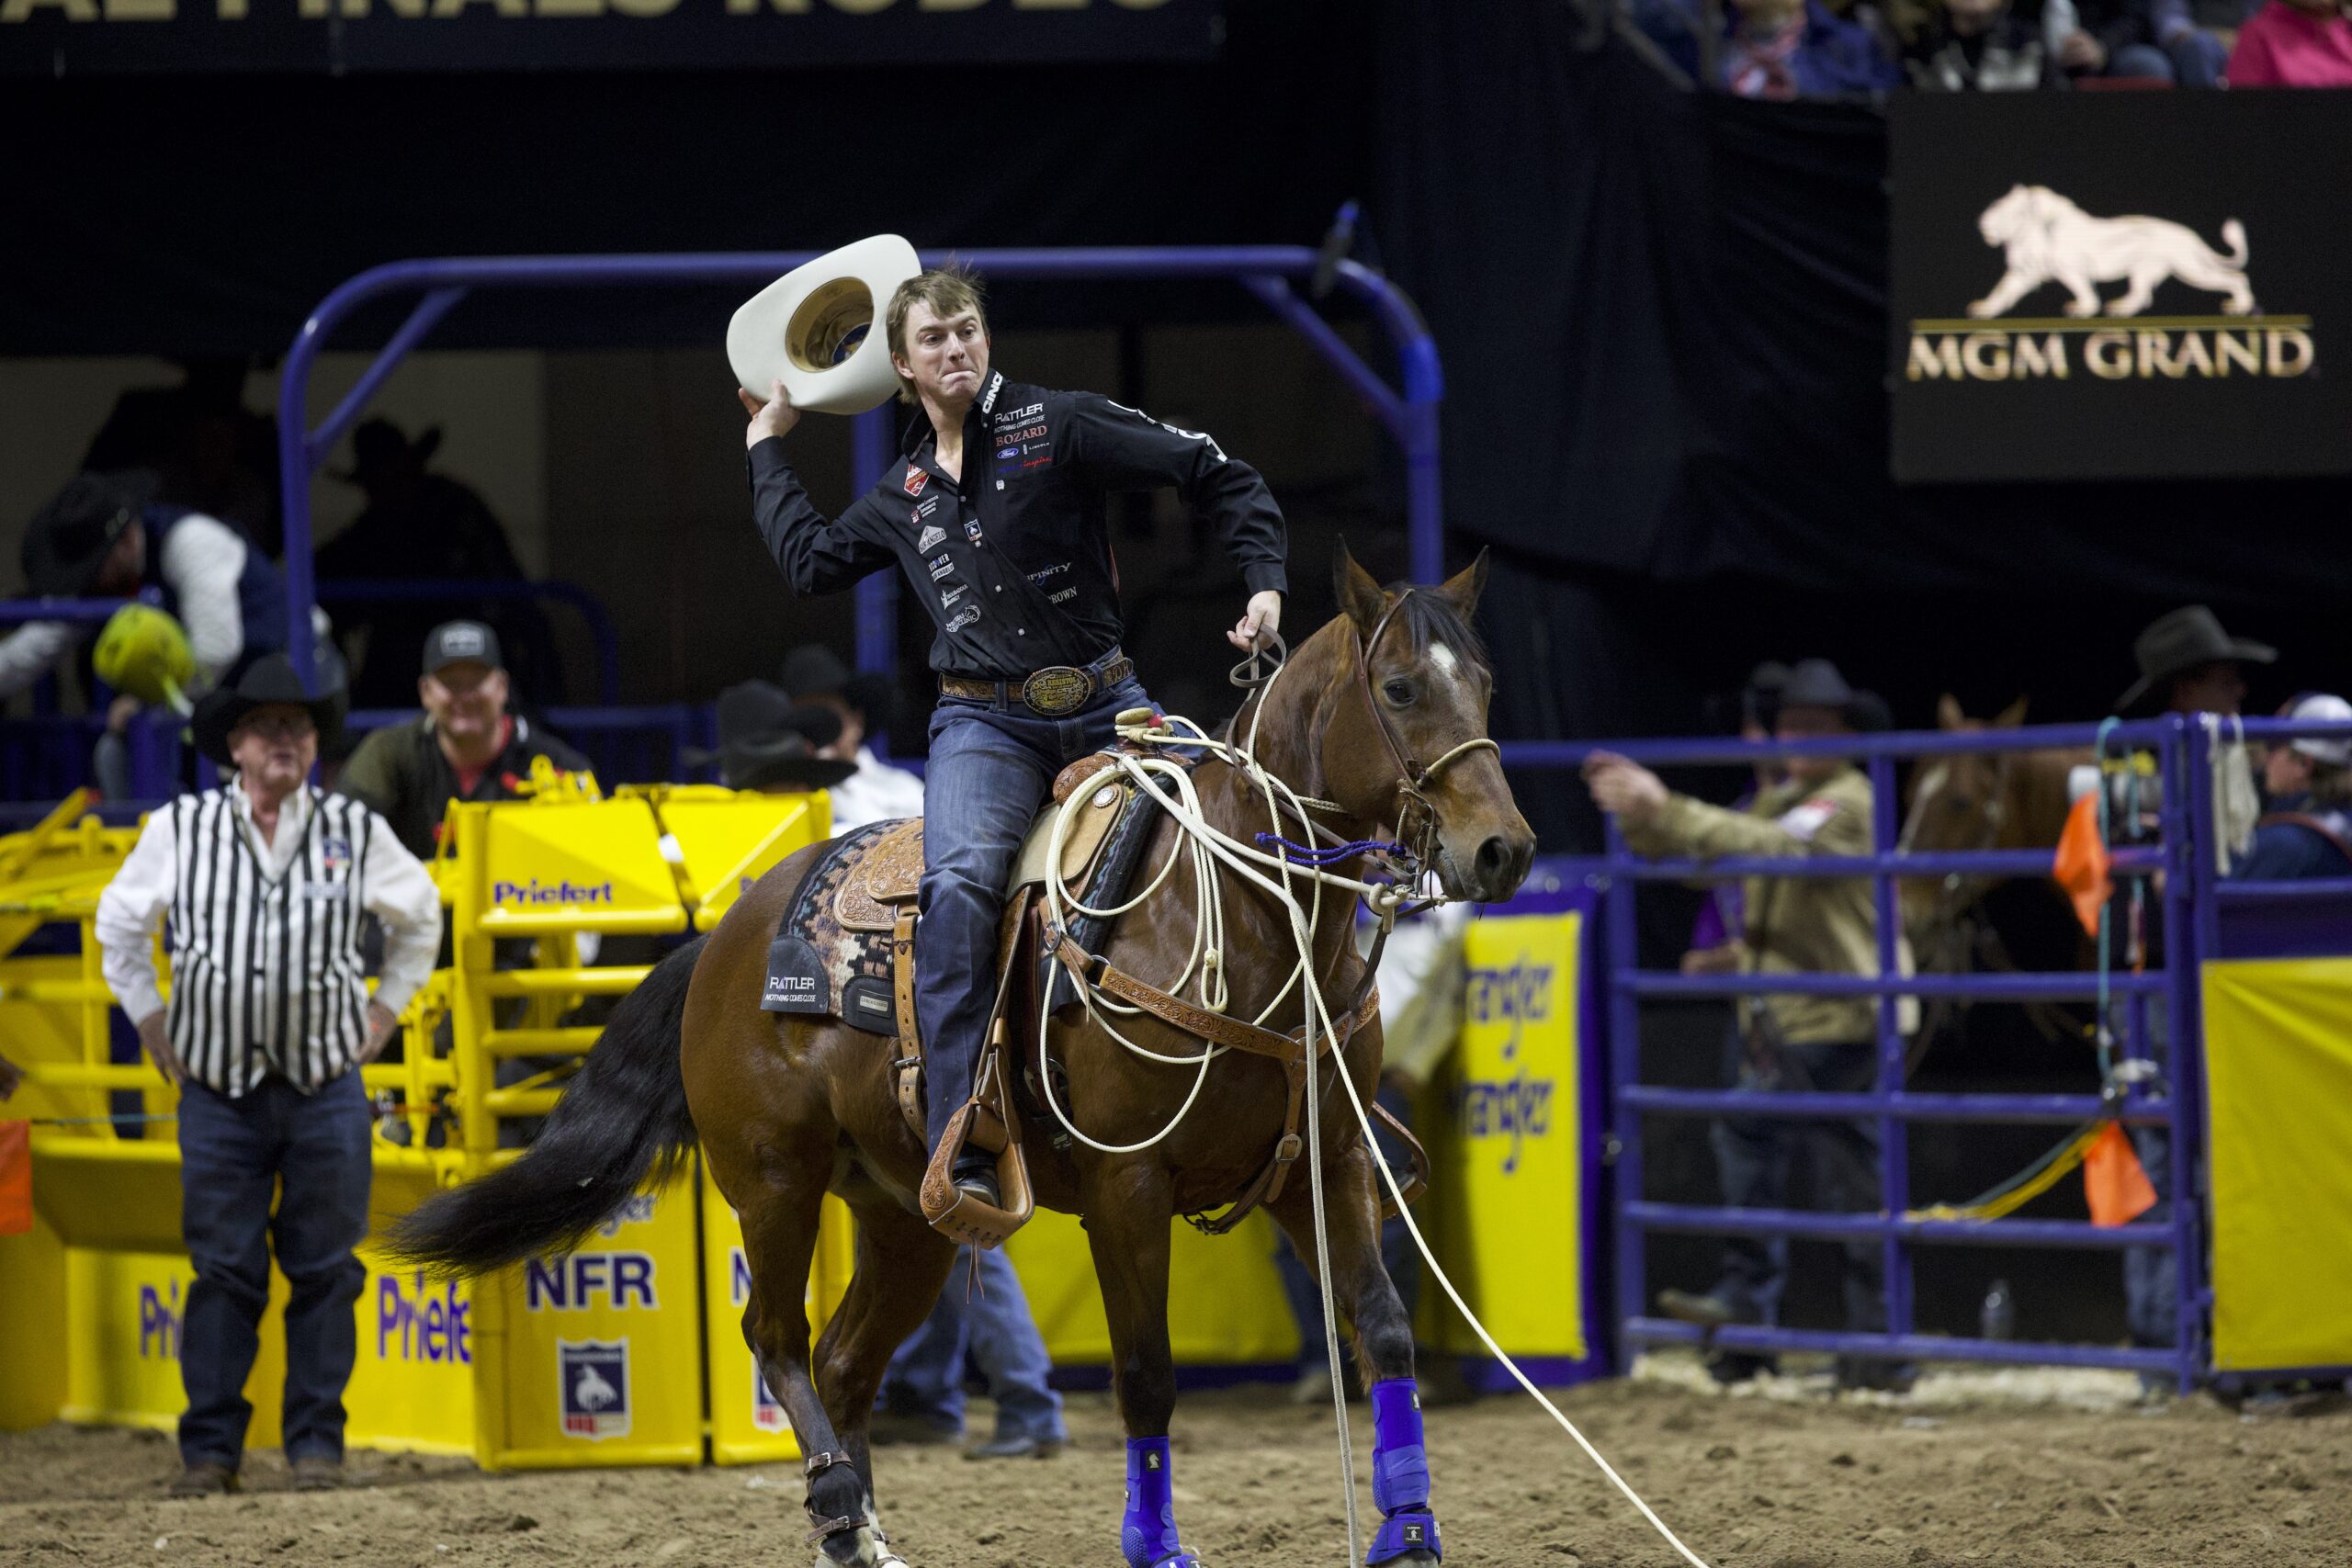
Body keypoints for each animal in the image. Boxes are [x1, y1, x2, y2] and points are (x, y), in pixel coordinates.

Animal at [395, 545, 1533, 1561]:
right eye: (1398, 687)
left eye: (1483, 684)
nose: (1504, 849)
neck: (1245, 922)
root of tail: (721, 937)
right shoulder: (1127, 1190)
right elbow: (1145, 1374)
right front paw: (1155, 1546)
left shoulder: (1324, 1165)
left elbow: (1380, 1328)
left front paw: (1409, 1531)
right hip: (770, 1181)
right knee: (777, 1339)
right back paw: (839, 1508)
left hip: (908, 1216)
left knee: (846, 1365)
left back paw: (860, 1533)